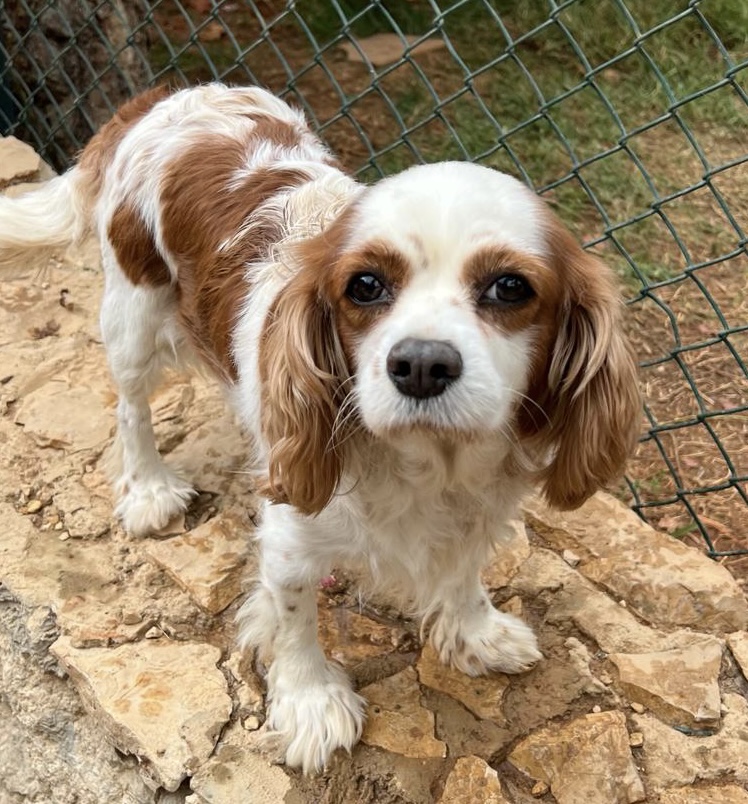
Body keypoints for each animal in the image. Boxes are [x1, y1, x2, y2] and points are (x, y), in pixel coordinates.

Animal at [0, 83, 641, 773]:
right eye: (364, 286)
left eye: (510, 287)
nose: (421, 364)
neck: (428, 463)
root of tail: (163, 97)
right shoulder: (292, 535)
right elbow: (293, 617)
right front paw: (311, 704)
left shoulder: (480, 506)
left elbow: (464, 568)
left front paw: (475, 631)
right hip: (133, 314)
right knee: (130, 406)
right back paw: (148, 488)